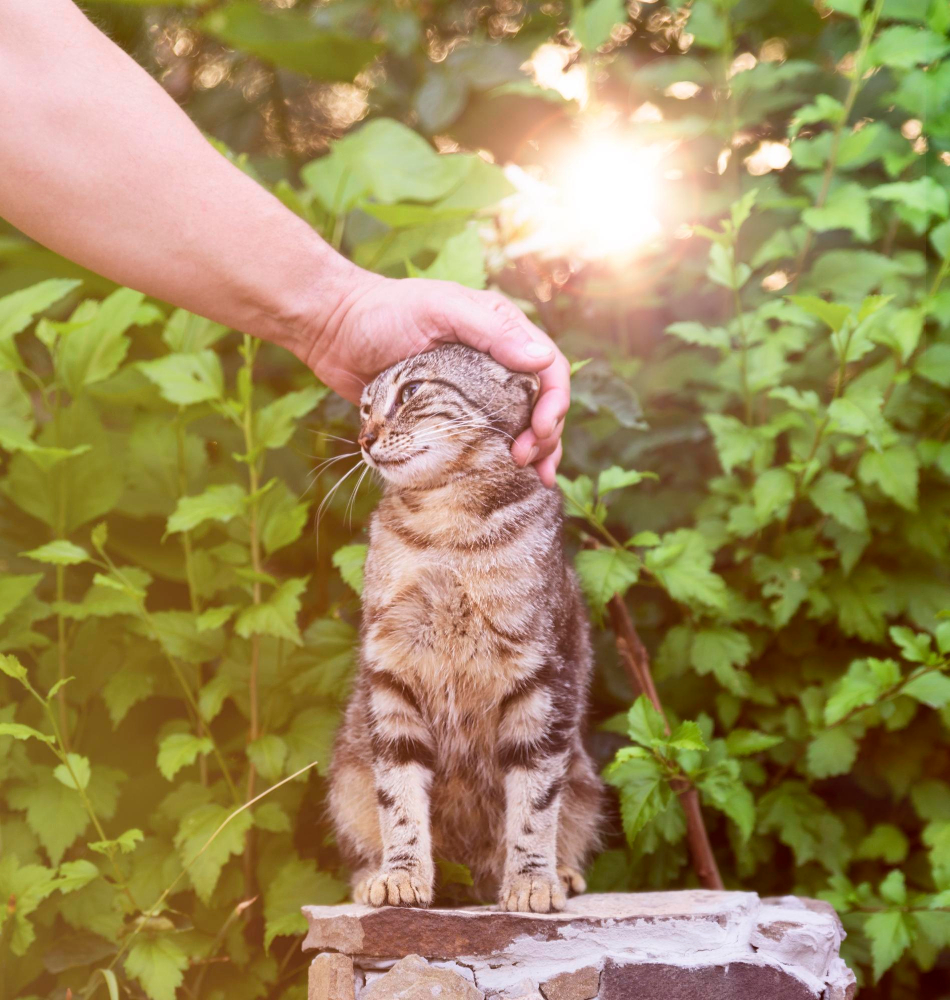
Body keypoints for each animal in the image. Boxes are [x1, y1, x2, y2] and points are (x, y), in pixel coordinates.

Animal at [328, 346, 604, 916]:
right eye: (364, 408)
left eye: (411, 392)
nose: (364, 438)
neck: (446, 532)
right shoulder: (391, 670)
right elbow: (398, 797)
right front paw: (401, 874)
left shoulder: (544, 681)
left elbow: (534, 805)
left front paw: (531, 882)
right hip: (346, 776)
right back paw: (372, 875)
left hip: (586, 782)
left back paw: (562, 874)